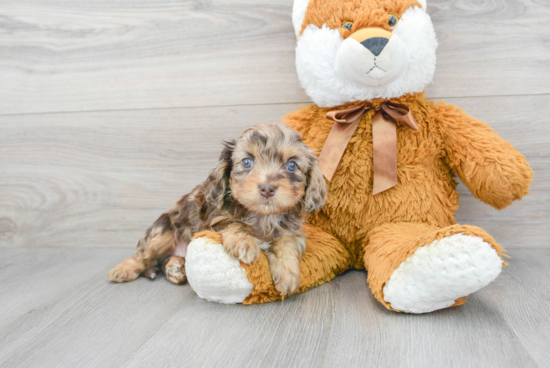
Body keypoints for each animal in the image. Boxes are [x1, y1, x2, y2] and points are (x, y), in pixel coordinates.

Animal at [110, 122, 330, 294]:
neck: (262, 216)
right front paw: (245, 243)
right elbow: (235, 224)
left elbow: (287, 243)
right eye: (247, 162)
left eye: (292, 165)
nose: (267, 188)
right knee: (143, 256)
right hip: (163, 230)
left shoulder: (293, 231)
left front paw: (288, 273)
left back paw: (176, 268)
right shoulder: (214, 219)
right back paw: (124, 269)